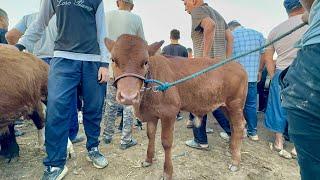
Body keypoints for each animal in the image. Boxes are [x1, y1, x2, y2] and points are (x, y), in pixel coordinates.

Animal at [105, 34, 248, 179]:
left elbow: (166, 142)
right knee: (233, 125)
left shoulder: (169, 112)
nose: (128, 96)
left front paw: (168, 172)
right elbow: (150, 135)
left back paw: (235, 161)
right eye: (113, 60)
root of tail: (237, 64)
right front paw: (148, 160)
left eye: (145, 62)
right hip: (225, 106)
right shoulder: (152, 114)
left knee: (239, 126)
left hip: (235, 103)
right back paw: (231, 150)